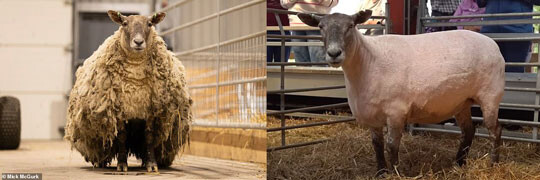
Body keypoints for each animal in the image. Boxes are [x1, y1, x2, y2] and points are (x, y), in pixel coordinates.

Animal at [64, 10, 193, 173]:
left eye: (149, 24)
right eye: (125, 23)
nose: (138, 42)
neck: (135, 78)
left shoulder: (151, 111)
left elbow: (149, 137)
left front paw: (151, 165)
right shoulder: (119, 111)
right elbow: (121, 137)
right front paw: (121, 164)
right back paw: (101, 162)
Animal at [300, 10, 506, 176]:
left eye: (351, 25)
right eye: (320, 27)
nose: (334, 53)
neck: (368, 61)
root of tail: (492, 44)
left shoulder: (396, 111)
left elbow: (392, 145)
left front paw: (395, 172)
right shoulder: (371, 115)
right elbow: (377, 145)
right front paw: (381, 172)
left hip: (490, 95)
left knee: (495, 130)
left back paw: (493, 164)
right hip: (461, 101)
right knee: (468, 131)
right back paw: (459, 164)